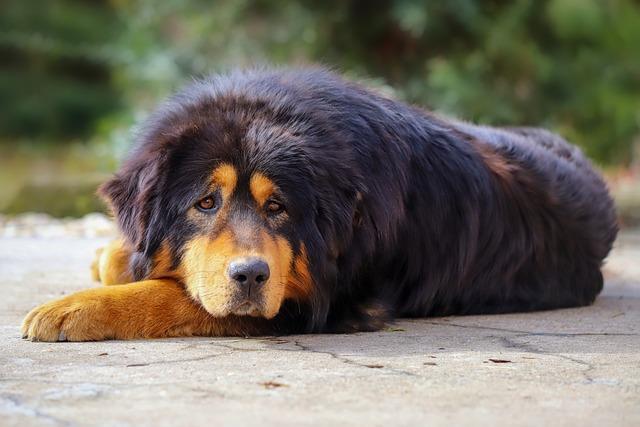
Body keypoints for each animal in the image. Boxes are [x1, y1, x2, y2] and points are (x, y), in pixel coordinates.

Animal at [22, 67, 616, 342]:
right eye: (206, 202)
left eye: (279, 208)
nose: (251, 276)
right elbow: (145, 263)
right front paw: (113, 258)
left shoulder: (316, 302)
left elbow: (169, 295)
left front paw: (72, 308)